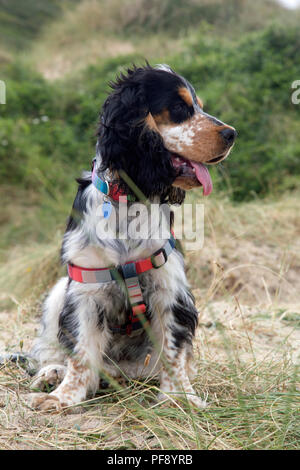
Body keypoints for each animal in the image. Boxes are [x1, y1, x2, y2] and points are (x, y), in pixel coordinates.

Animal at [27, 64, 236, 410]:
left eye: (199, 106)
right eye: (180, 108)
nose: (232, 134)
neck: (128, 200)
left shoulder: (170, 288)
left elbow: (174, 351)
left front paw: (180, 398)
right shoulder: (85, 288)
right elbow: (80, 353)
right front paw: (63, 398)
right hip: (59, 291)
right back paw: (52, 373)